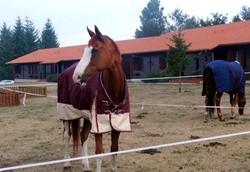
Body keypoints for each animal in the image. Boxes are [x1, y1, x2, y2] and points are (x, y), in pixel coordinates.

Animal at [57, 26, 131, 171]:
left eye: (95, 50)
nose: (76, 77)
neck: (113, 92)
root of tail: (65, 72)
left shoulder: (117, 122)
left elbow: (114, 148)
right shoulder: (99, 125)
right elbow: (99, 153)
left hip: (86, 116)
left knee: (83, 136)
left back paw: (85, 164)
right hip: (66, 113)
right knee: (67, 135)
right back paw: (67, 163)